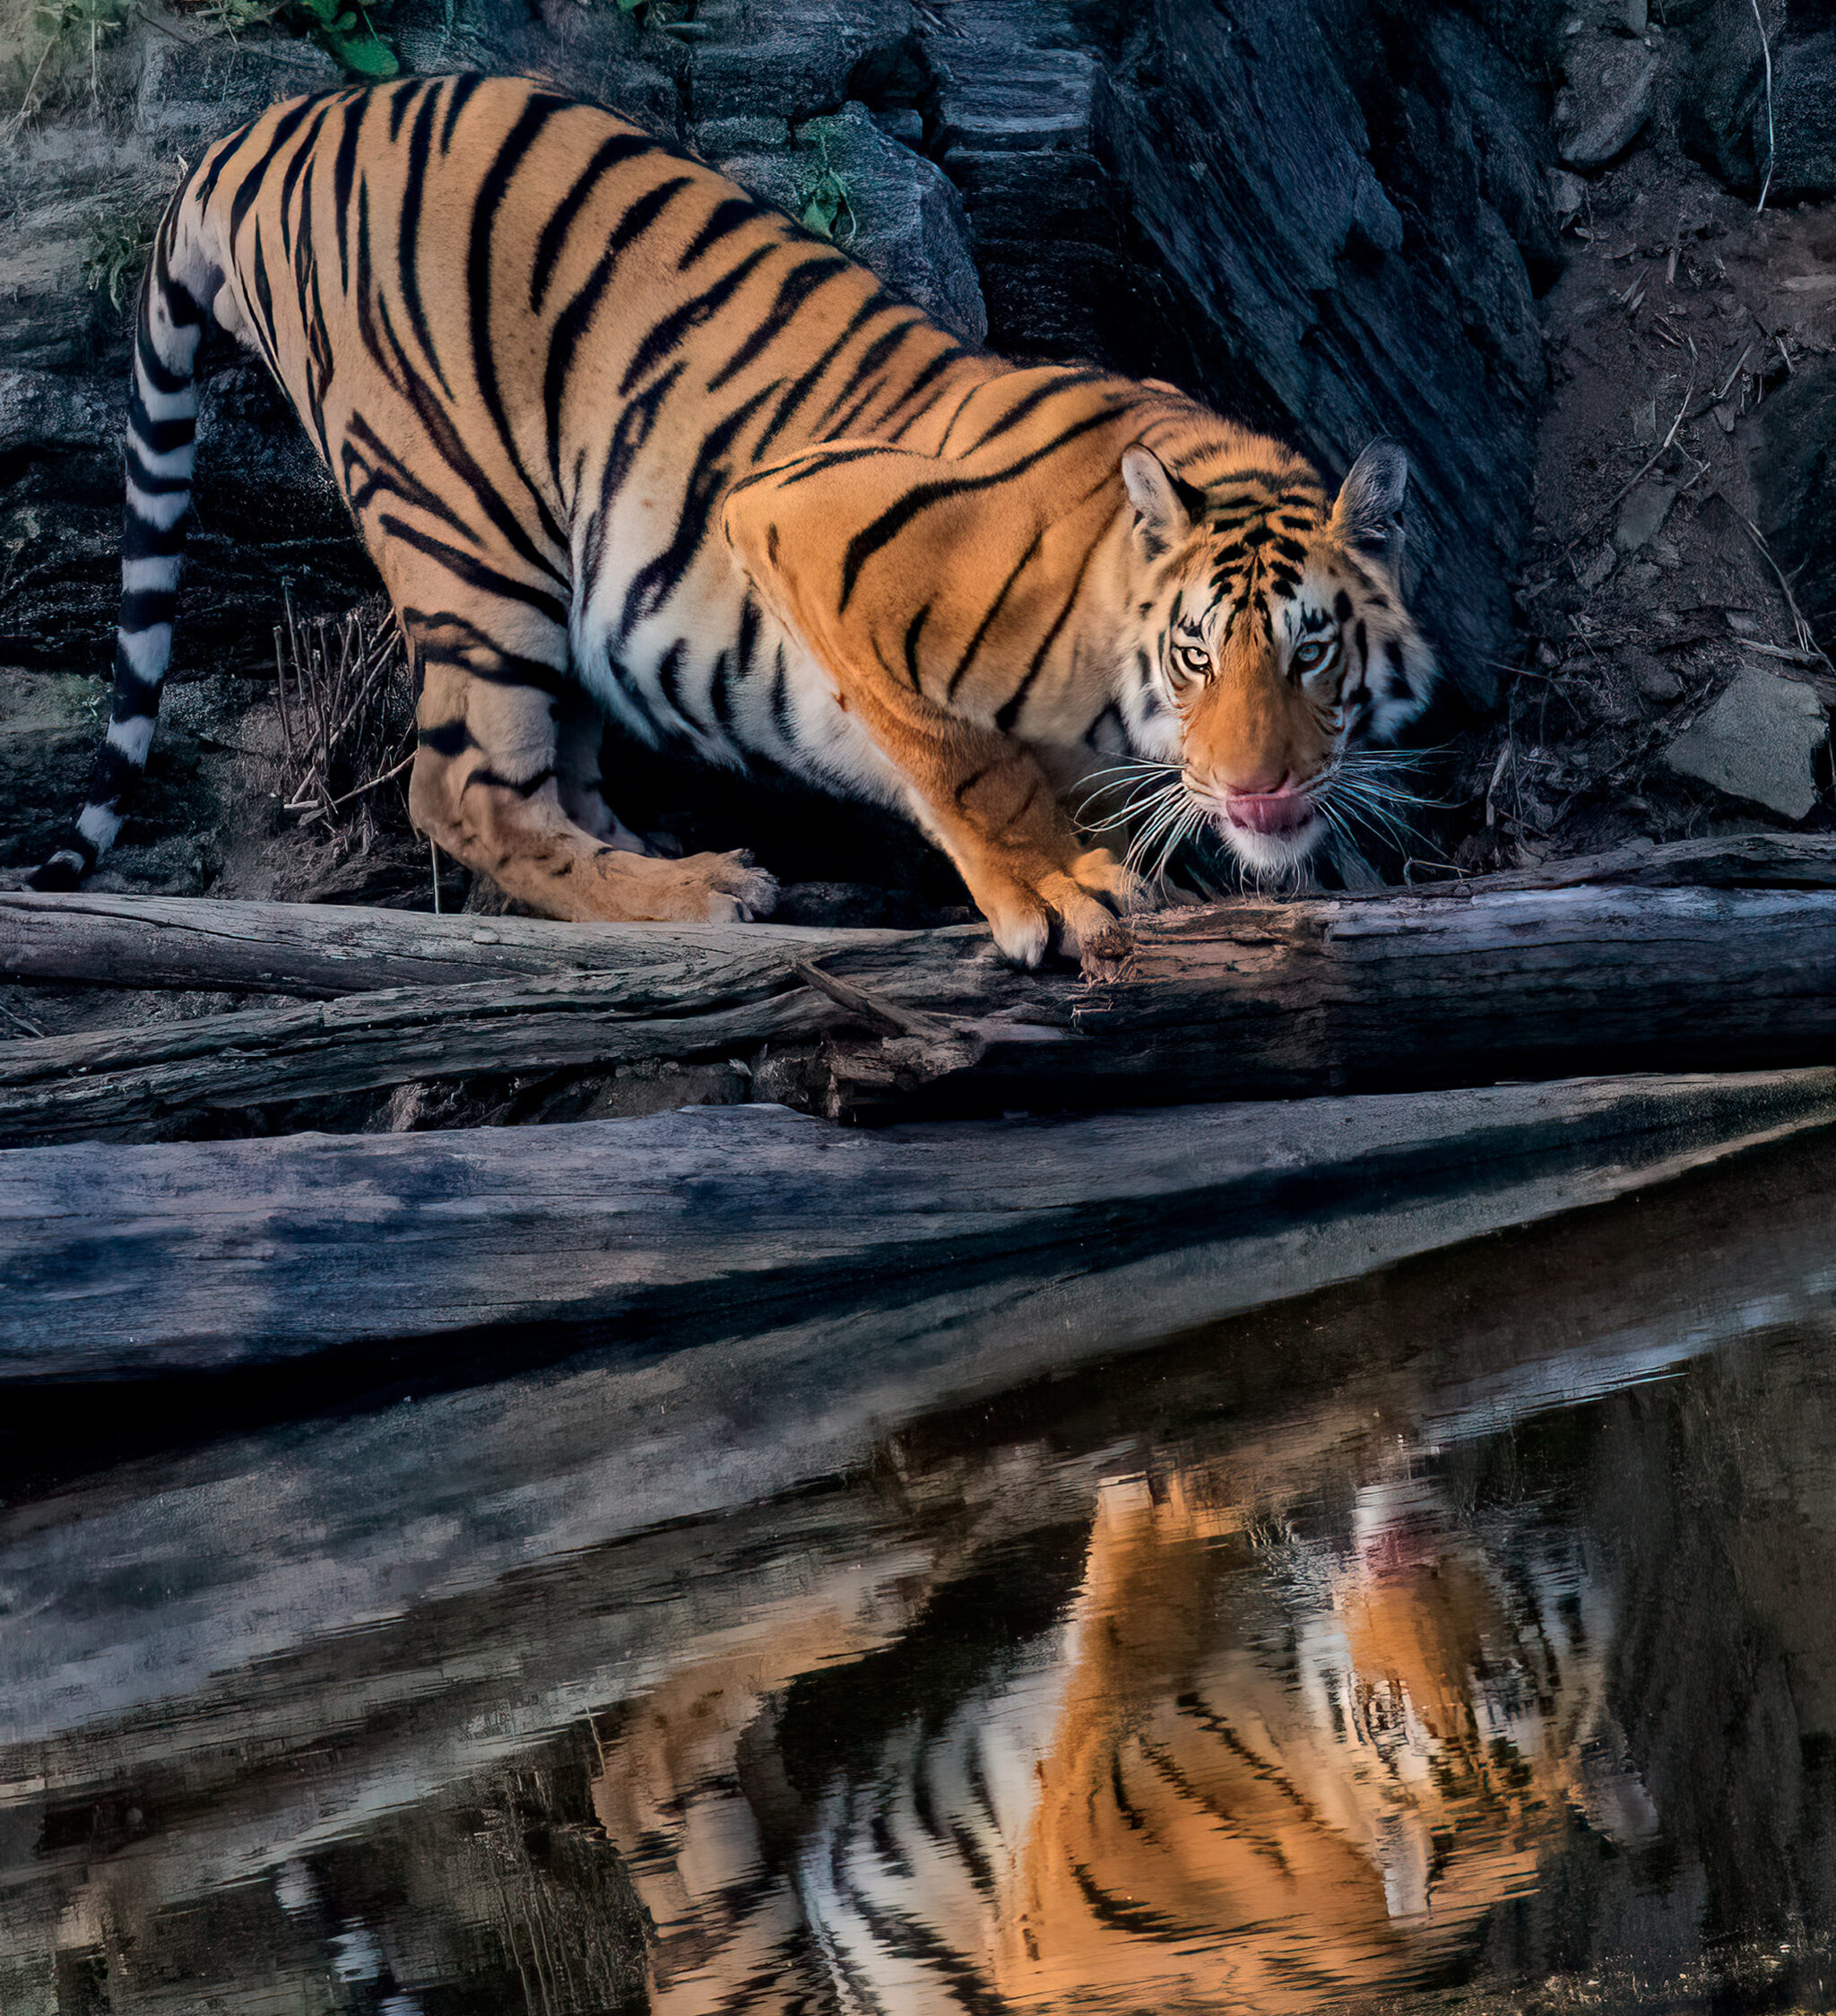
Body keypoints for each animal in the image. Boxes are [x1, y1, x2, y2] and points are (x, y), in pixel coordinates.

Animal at [32, 73, 1437, 965]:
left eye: (1312, 649)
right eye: (1195, 653)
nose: (1260, 788)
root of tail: (274, 122)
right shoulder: (807, 520)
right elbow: (960, 757)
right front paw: (1058, 889)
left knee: (554, 763)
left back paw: (657, 855)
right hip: (469, 525)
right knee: (463, 785)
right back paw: (702, 892)